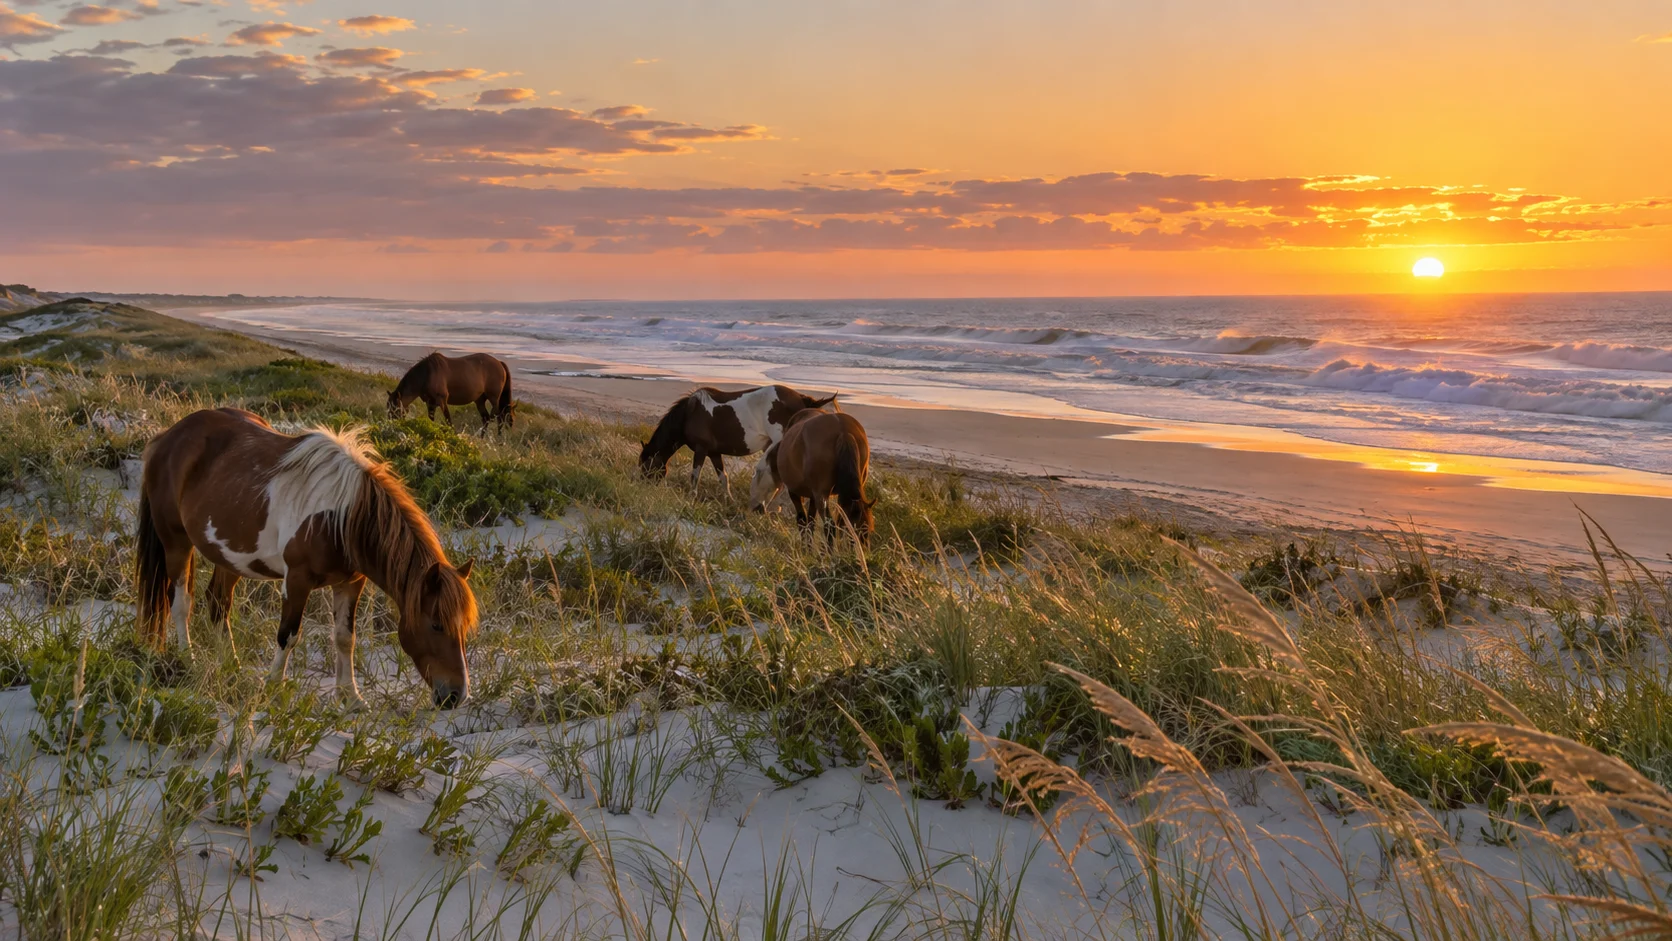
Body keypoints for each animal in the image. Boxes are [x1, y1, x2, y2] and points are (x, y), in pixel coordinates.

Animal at [136, 408, 478, 708]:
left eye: (464, 626)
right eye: (436, 625)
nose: (456, 695)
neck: (341, 518)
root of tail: (167, 437)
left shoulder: (351, 583)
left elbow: (345, 638)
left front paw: (351, 697)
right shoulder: (297, 580)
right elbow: (288, 635)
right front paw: (274, 688)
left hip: (229, 556)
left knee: (219, 604)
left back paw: (232, 668)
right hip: (176, 543)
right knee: (182, 603)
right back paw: (189, 659)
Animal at [387, 352, 516, 434]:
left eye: (395, 409)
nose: (390, 425)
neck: (427, 374)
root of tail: (499, 363)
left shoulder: (442, 400)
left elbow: (448, 419)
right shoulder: (430, 403)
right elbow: (431, 419)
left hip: (493, 397)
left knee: (497, 416)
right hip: (480, 400)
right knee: (487, 418)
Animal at [638, 385, 836, 494]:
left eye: (645, 467)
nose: (642, 486)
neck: (689, 413)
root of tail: (803, 400)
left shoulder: (701, 450)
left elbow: (695, 476)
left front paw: (691, 497)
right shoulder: (714, 453)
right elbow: (723, 478)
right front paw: (729, 499)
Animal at [748, 410, 875, 546]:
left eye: (757, 473)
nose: (756, 508)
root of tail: (843, 430)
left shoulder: (795, 492)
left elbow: (802, 520)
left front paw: (806, 548)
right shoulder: (814, 495)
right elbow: (811, 522)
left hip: (822, 494)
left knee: (829, 525)